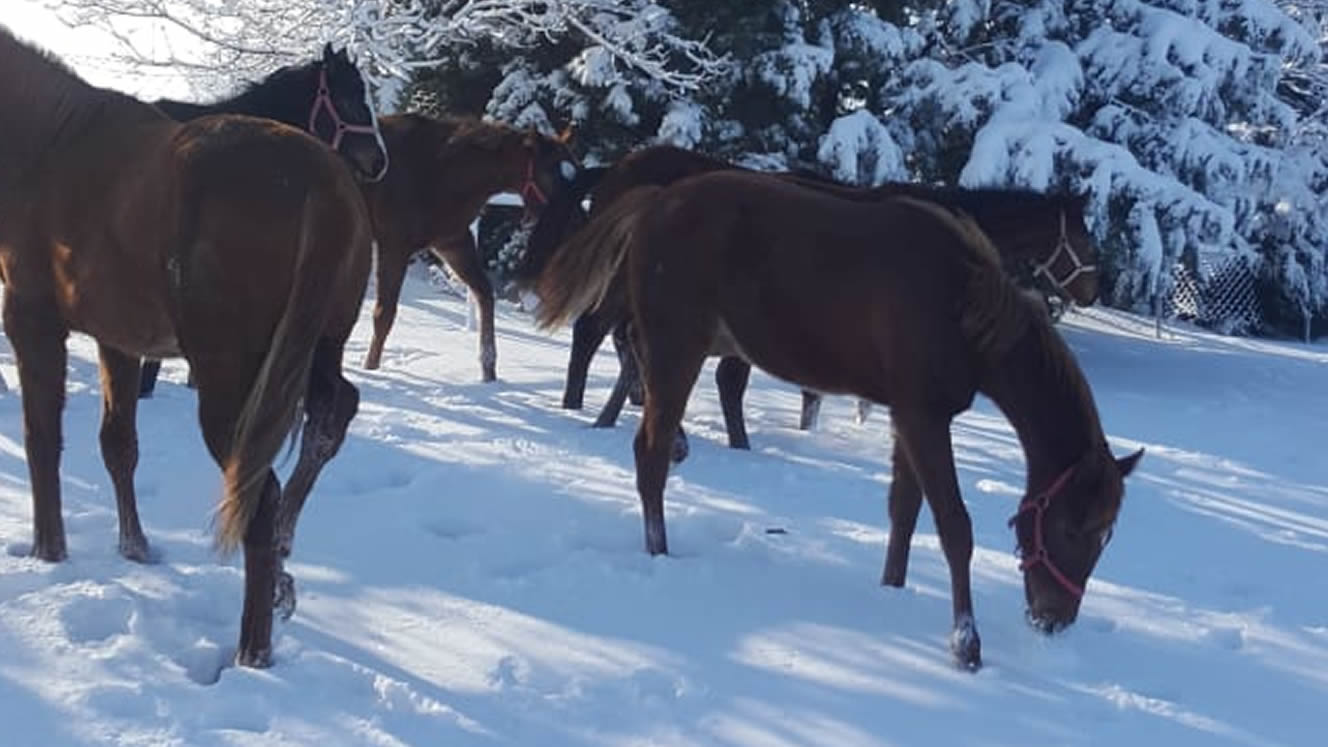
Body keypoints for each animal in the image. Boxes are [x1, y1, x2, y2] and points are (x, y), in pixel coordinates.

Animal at [2, 30, 374, 669]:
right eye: (349, 97)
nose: (379, 159)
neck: (50, 141)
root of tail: (323, 184)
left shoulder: (31, 323)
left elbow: (42, 442)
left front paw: (49, 552)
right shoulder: (120, 341)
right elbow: (119, 445)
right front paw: (136, 548)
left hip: (231, 381)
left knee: (259, 498)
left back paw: (253, 652)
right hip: (307, 354)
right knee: (329, 419)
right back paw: (281, 568)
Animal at [361, 113, 579, 380]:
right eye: (551, 174)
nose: (578, 222)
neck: (436, 171)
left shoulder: (453, 242)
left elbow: (484, 294)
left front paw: (489, 372)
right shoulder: (394, 246)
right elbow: (384, 314)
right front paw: (370, 369)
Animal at [525, 170, 1142, 669]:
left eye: (1108, 535)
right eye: (1072, 528)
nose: (1053, 619)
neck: (960, 304)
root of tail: (655, 199)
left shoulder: (908, 415)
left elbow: (903, 511)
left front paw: (891, 589)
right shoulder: (924, 417)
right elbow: (954, 526)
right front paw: (966, 644)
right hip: (678, 348)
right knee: (649, 452)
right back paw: (660, 549)